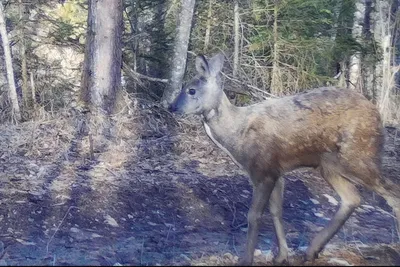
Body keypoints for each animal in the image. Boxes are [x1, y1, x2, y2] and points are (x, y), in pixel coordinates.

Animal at [168, 52, 400, 266]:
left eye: (191, 90)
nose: (171, 107)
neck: (237, 134)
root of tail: (377, 114)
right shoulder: (275, 172)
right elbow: (276, 212)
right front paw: (281, 255)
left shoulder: (264, 170)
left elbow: (254, 215)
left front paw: (246, 259)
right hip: (328, 165)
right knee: (352, 198)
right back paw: (312, 250)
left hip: (358, 155)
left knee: (391, 193)